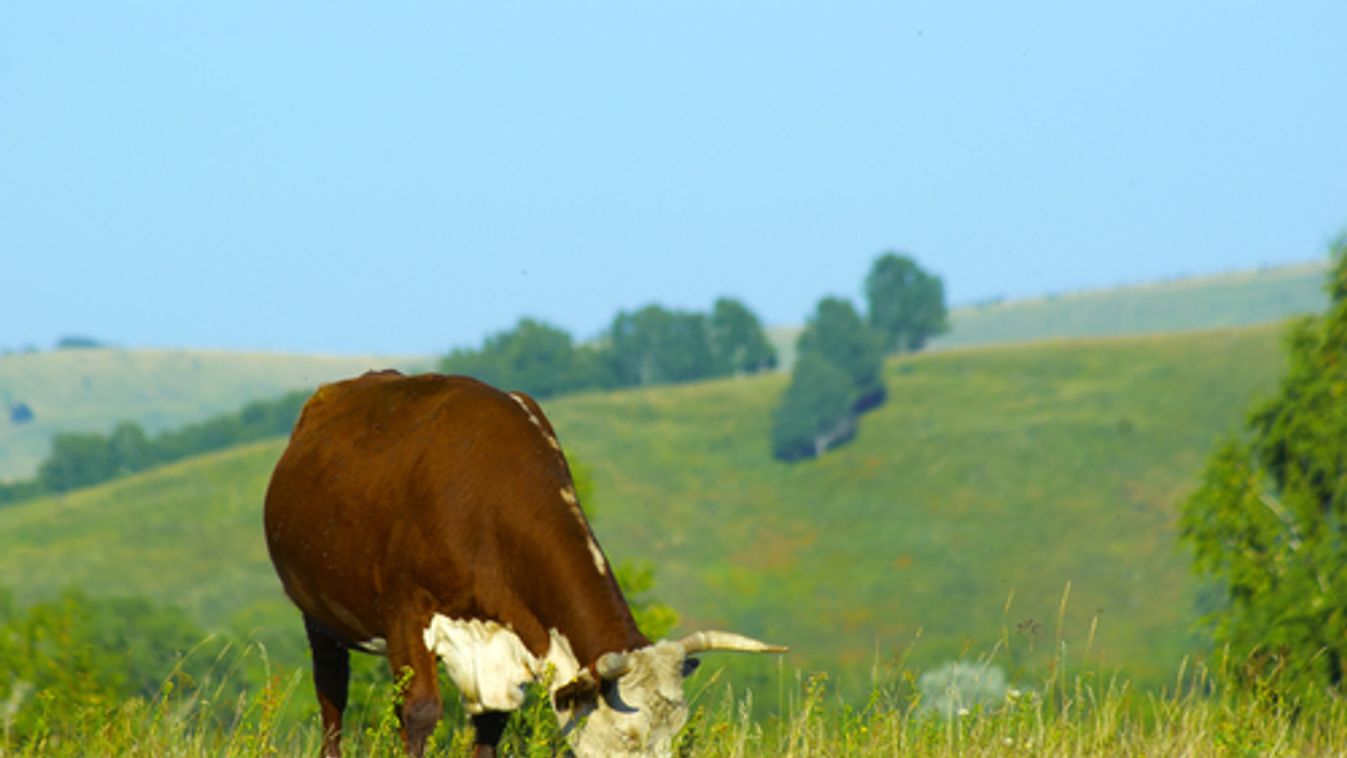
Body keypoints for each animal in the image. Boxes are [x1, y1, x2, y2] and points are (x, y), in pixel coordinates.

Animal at [262, 374, 786, 758]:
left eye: (674, 732)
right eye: (625, 736)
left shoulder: (501, 651)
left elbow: (489, 727)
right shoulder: (406, 613)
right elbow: (420, 713)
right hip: (320, 617)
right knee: (332, 698)